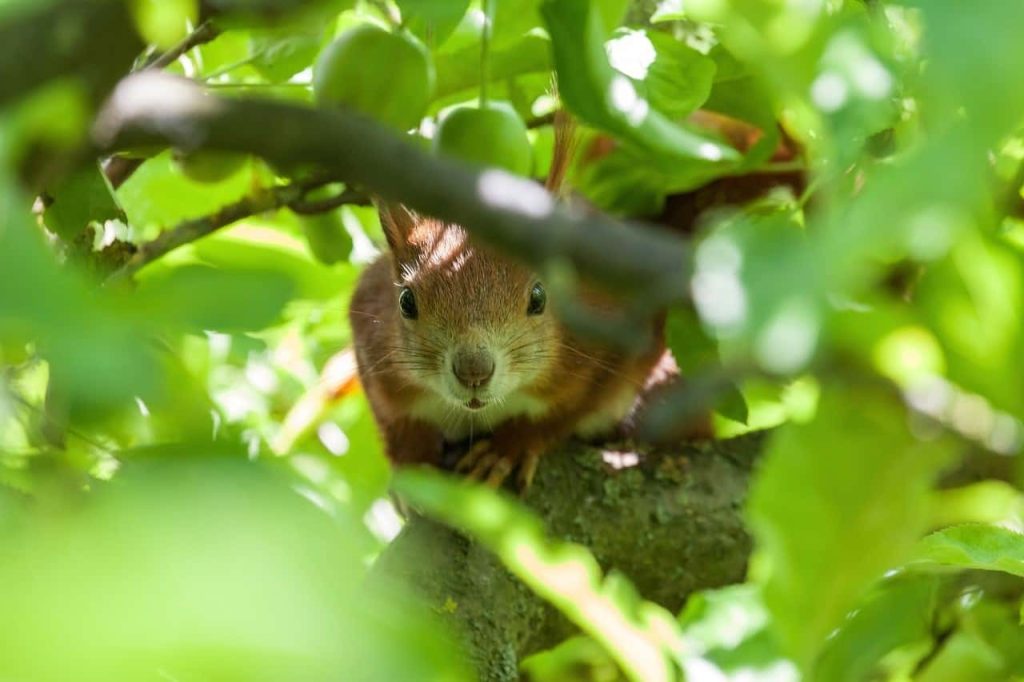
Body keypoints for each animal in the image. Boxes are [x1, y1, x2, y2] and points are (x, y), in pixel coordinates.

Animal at [348, 114, 708, 485]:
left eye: (539, 297)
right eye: (406, 301)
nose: (474, 371)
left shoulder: (612, 331)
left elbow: (565, 412)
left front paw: (508, 447)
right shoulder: (370, 338)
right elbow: (397, 421)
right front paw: (413, 457)